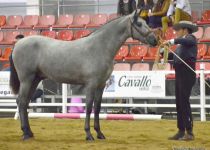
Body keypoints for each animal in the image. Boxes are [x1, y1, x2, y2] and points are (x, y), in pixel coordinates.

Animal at [9, 10, 158, 141]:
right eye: (139, 24)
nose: (154, 40)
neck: (100, 47)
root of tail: (19, 43)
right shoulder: (91, 85)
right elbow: (89, 107)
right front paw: (89, 134)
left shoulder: (101, 85)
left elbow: (97, 108)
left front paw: (99, 133)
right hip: (26, 80)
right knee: (22, 102)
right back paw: (25, 134)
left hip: (35, 80)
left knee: (24, 103)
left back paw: (29, 132)